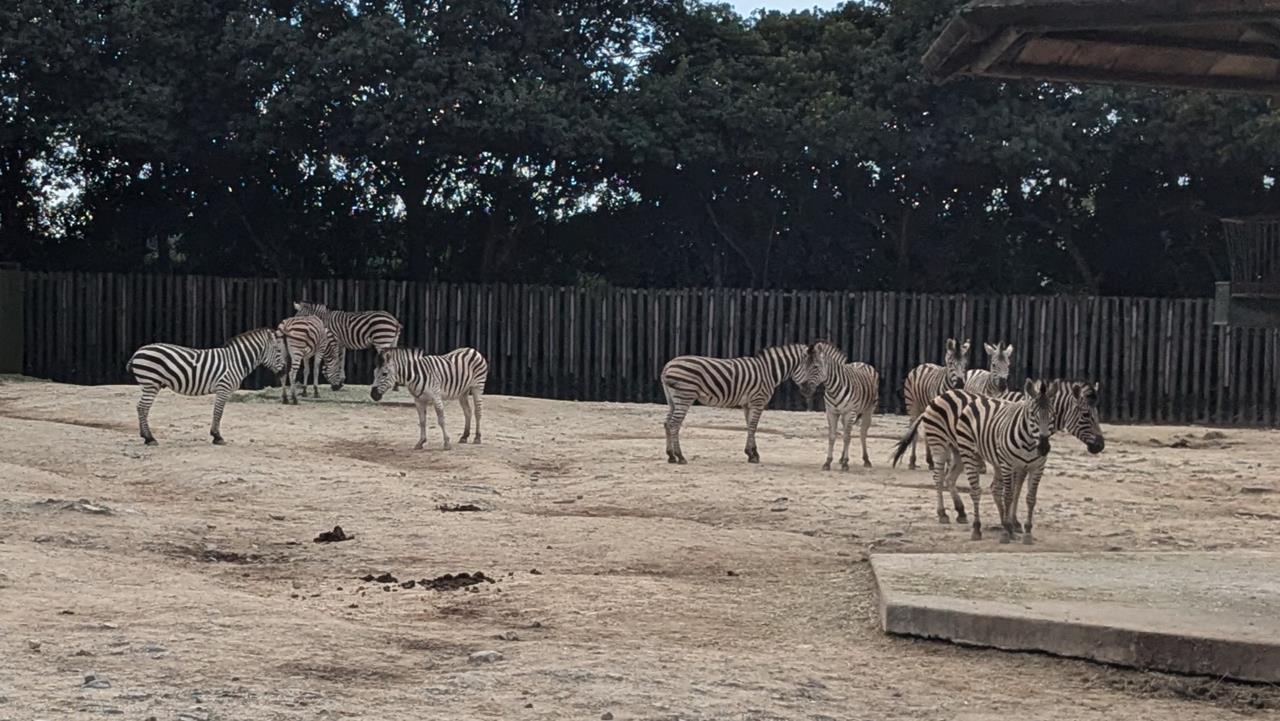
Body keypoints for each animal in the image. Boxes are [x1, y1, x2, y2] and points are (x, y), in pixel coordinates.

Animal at [126, 327, 288, 445]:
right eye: (279, 351)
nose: (285, 371)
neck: (236, 361)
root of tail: (138, 352)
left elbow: (217, 412)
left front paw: (215, 435)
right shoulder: (223, 388)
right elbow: (218, 412)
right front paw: (217, 437)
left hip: (151, 384)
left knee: (140, 407)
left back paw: (145, 436)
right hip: (151, 383)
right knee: (143, 408)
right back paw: (150, 438)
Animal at [660, 343, 819, 466]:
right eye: (815, 367)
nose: (808, 392)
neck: (768, 371)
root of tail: (668, 365)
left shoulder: (747, 404)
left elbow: (749, 426)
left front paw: (752, 453)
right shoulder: (758, 401)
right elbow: (753, 427)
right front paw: (753, 455)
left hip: (672, 399)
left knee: (667, 423)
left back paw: (671, 456)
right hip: (685, 395)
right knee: (674, 424)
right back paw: (680, 457)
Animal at [808, 340, 880, 471]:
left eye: (815, 367)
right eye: (804, 365)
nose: (805, 388)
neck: (833, 388)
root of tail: (862, 363)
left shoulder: (850, 412)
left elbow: (847, 437)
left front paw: (846, 463)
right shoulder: (831, 412)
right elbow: (832, 436)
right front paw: (828, 462)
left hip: (868, 410)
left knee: (862, 433)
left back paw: (866, 459)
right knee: (848, 431)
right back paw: (841, 458)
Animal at [896, 384, 1054, 542]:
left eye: (1053, 415)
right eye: (1032, 415)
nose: (1044, 447)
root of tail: (937, 398)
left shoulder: (1024, 466)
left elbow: (1017, 492)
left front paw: (1013, 523)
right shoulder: (1010, 463)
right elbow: (1011, 492)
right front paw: (1010, 524)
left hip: (959, 451)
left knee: (950, 478)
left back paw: (961, 512)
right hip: (939, 443)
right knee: (938, 477)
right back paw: (943, 513)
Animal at [901, 340, 967, 473]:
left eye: (964, 364)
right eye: (951, 363)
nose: (960, 384)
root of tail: (923, 365)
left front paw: (949, 463)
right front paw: (948, 463)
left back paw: (930, 461)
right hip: (913, 406)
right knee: (914, 430)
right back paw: (912, 461)